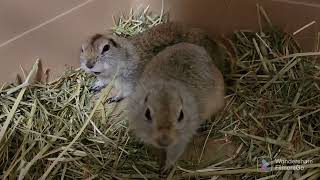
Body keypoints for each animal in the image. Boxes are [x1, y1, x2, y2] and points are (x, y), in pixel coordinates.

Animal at [79, 21, 225, 102]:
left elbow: (125, 92)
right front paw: (93, 86)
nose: (89, 64)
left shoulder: (129, 81)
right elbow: (102, 81)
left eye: (106, 48)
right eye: (82, 49)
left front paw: (114, 98)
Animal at [127, 42, 225, 172]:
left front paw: (166, 168)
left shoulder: (182, 137)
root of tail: (200, 49)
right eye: (147, 113)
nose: (164, 141)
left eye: (181, 115)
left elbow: (174, 153)